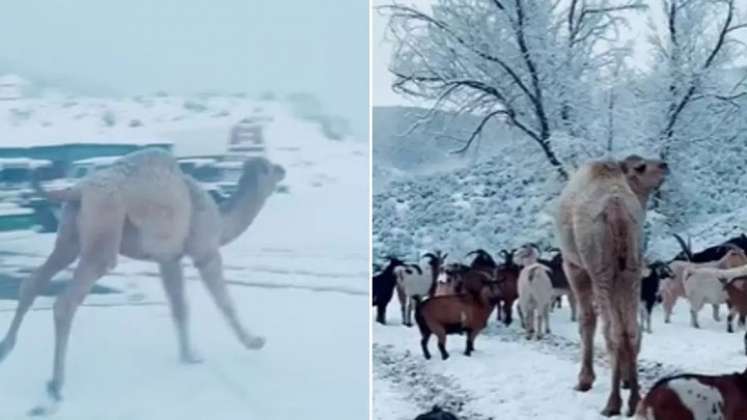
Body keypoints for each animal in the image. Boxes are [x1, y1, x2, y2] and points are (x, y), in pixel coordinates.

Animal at [0, 147, 286, 414]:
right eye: (271, 168)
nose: (283, 170)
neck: (221, 221)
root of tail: (76, 190)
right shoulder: (205, 251)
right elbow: (224, 301)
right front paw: (255, 341)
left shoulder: (169, 258)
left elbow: (179, 306)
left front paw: (189, 356)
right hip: (103, 232)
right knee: (65, 301)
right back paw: (55, 385)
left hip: (70, 235)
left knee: (32, 282)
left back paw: (6, 349)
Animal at [556, 154, 668, 416]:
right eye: (641, 166)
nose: (664, 165)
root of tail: (616, 210)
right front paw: (627, 380)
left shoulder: (574, 266)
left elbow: (587, 320)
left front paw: (584, 380)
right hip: (631, 266)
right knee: (632, 329)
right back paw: (635, 399)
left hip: (600, 268)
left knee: (612, 331)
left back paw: (612, 403)